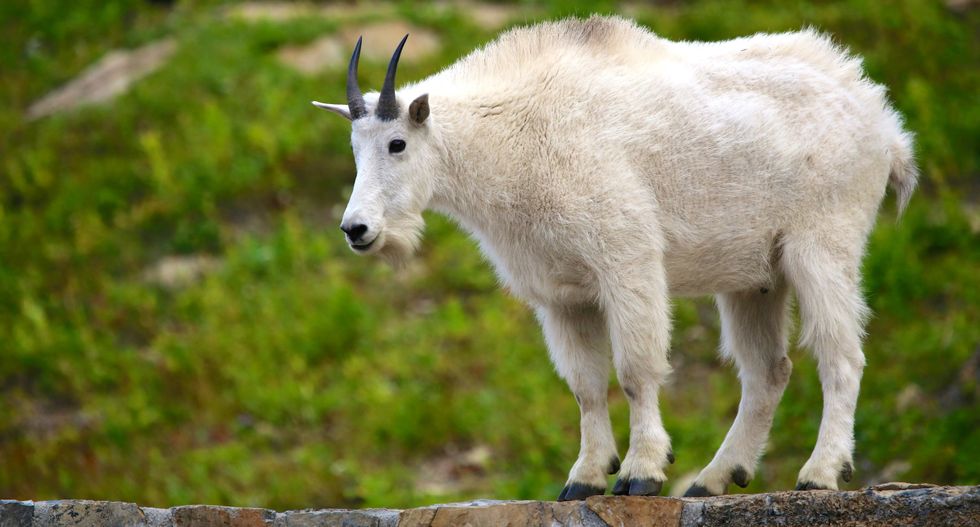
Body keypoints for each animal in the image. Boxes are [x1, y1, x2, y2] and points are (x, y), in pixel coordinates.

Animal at [313, 15, 917, 500]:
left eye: (398, 144)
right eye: (355, 149)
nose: (357, 229)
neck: (511, 139)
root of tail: (885, 123)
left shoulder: (627, 263)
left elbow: (635, 370)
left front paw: (641, 471)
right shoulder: (561, 296)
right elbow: (585, 385)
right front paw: (584, 478)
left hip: (824, 245)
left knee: (841, 358)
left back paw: (819, 473)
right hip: (754, 278)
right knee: (768, 371)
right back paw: (712, 479)